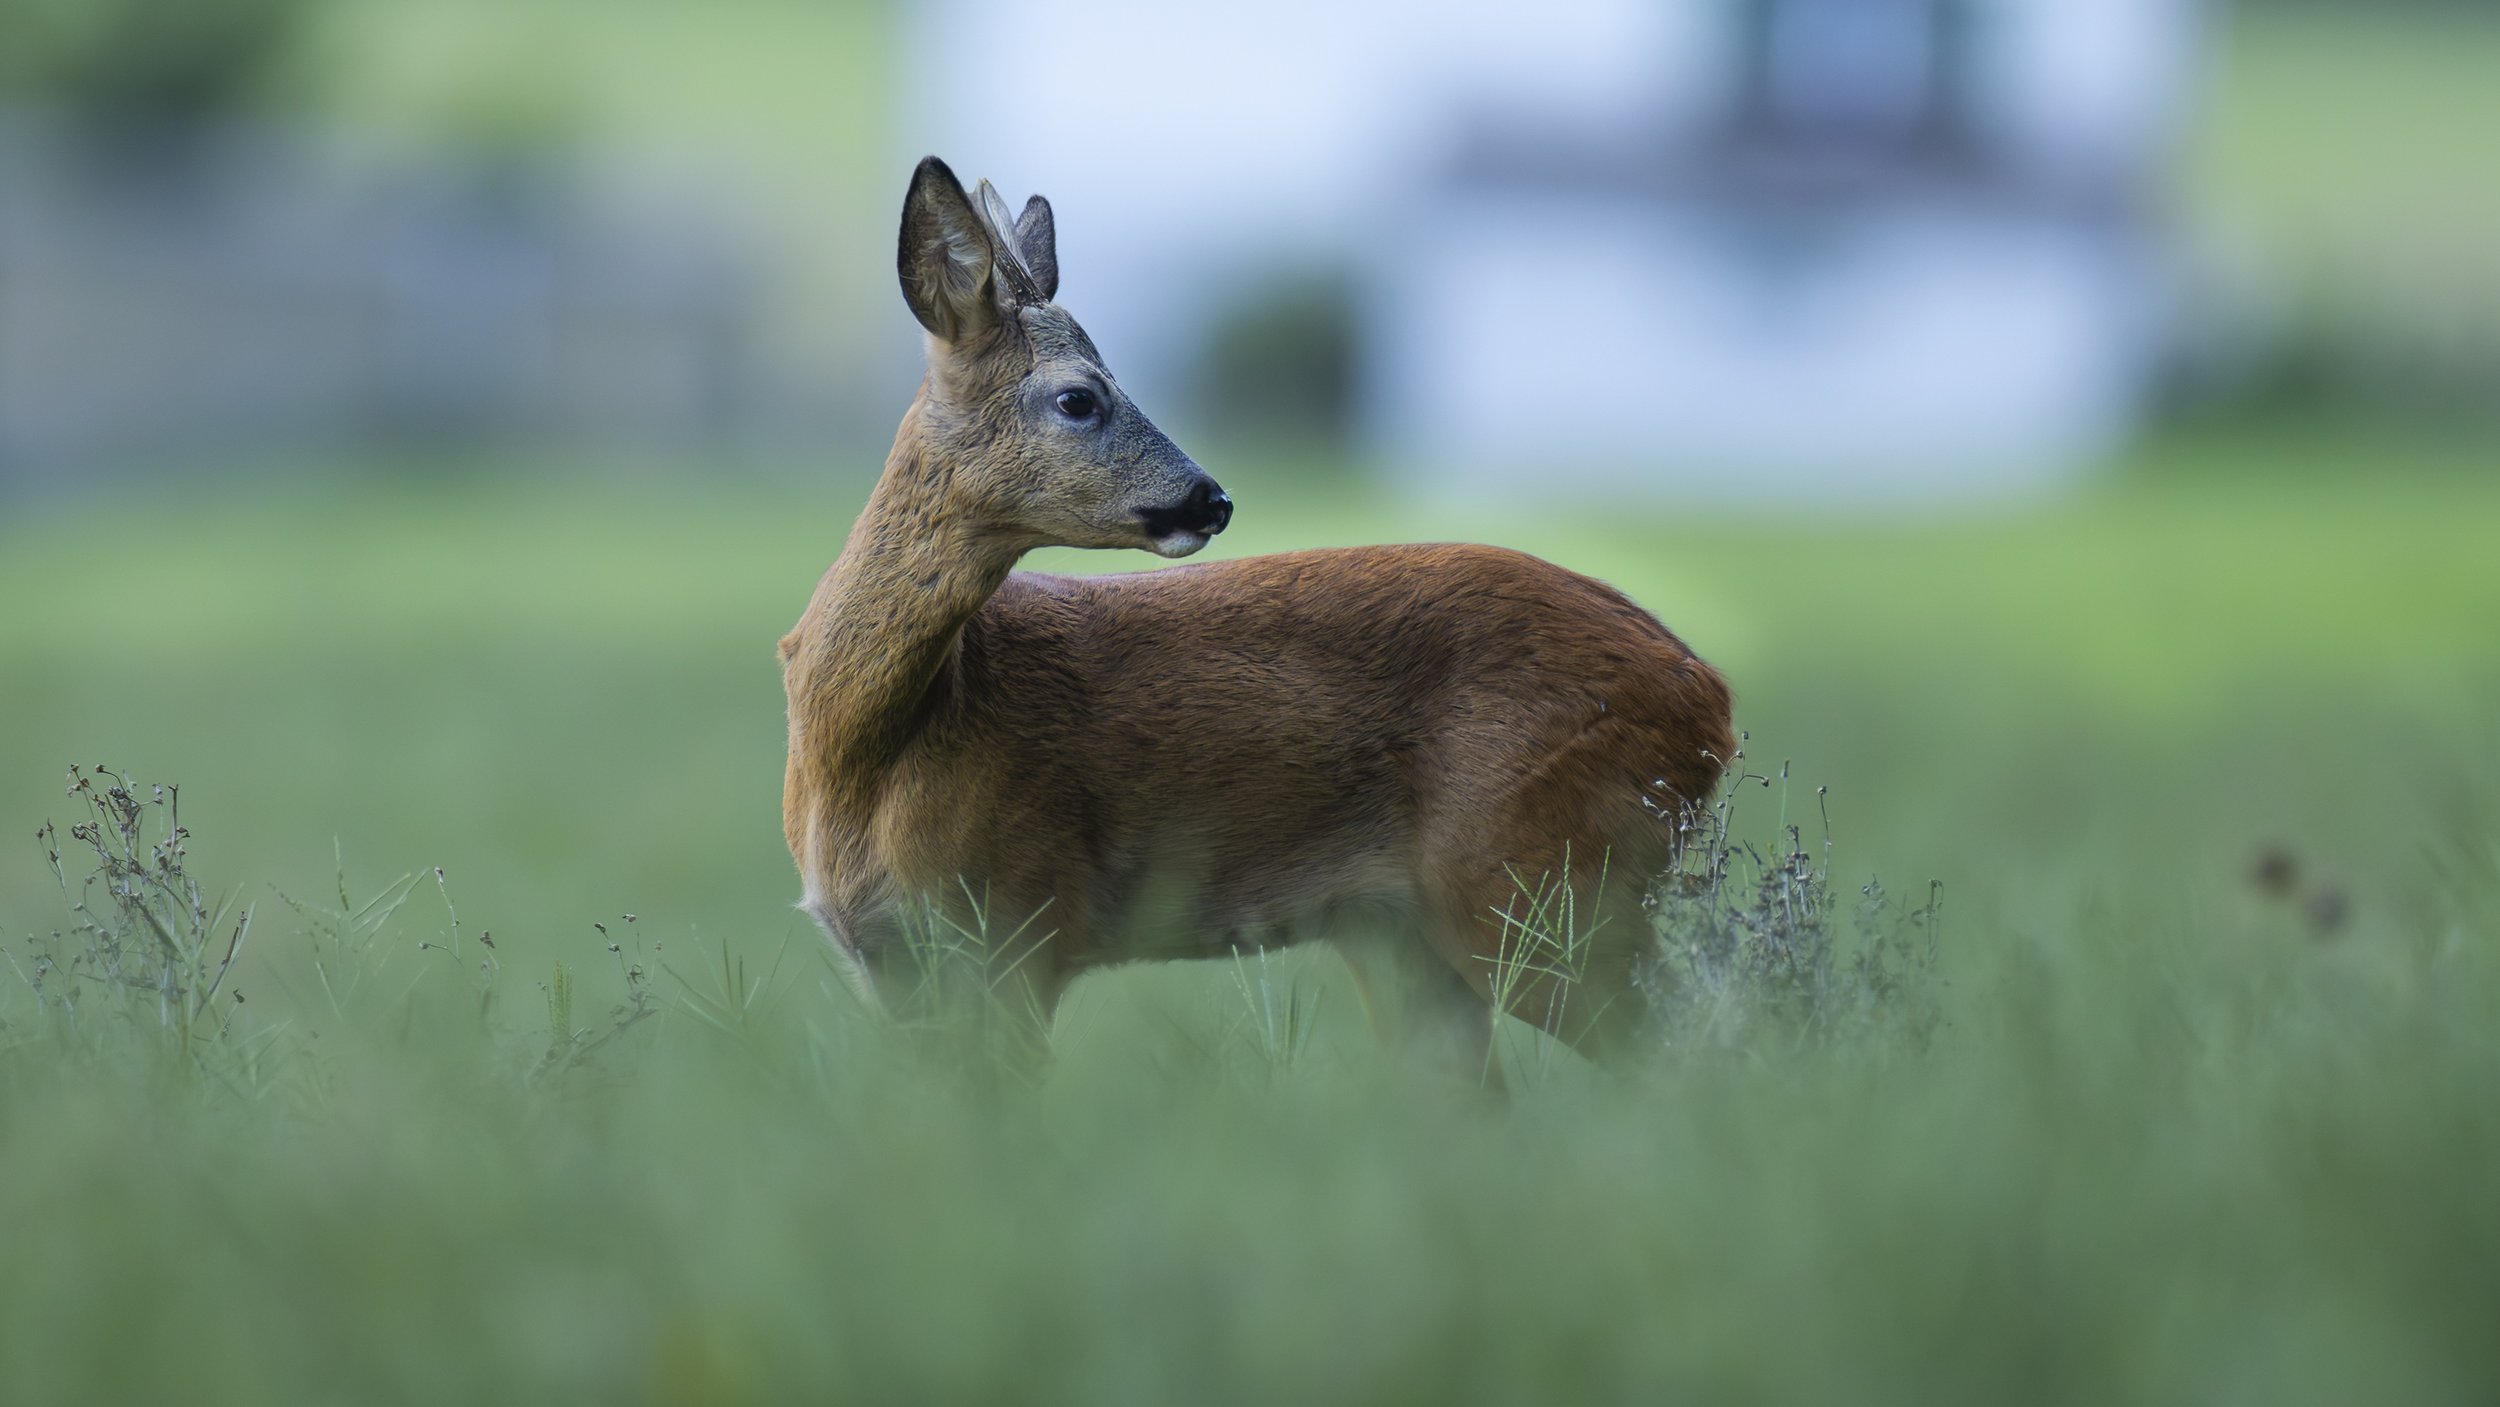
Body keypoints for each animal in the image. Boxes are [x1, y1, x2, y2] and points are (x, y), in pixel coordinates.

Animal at [780, 157, 1735, 1082]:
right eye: (1080, 398)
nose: (1213, 497)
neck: (863, 751)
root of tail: (1710, 696)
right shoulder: (894, 964)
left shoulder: (1018, 915)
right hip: (1409, 932)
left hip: (1537, 875)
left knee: (1700, 1045)